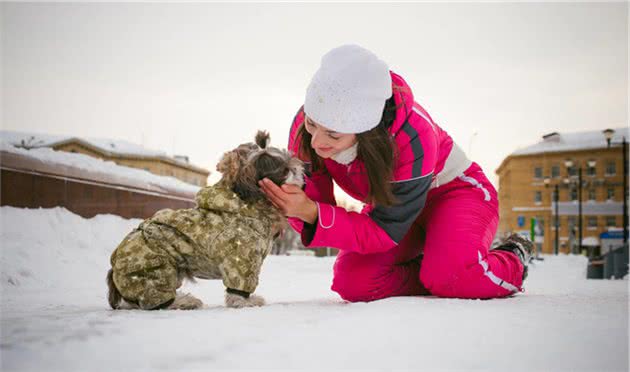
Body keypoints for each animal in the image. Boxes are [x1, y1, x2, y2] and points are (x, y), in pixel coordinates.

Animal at [107, 132, 304, 310]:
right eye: (285, 170)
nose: (300, 169)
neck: (246, 205)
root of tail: (115, 263)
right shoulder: (241, 256)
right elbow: (238, 287)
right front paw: (244, 301)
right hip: (154, 270)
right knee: (155, 300)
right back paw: (184, 301)